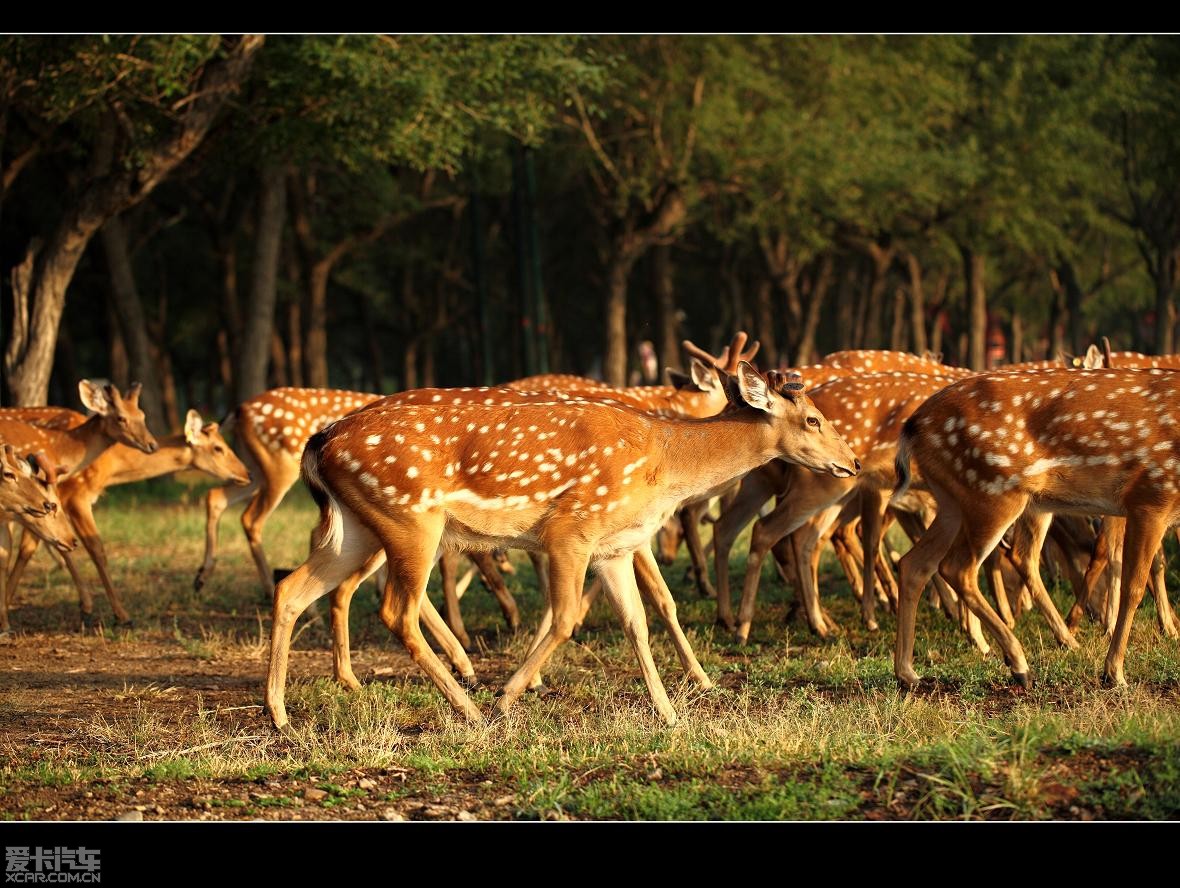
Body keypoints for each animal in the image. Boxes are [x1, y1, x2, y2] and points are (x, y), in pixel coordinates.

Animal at [267, 363, 859, 731]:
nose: (851, 461)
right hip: (409, 519)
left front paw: (669, 714)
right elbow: (567, 616)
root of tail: (320, 442)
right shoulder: (572, 528)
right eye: (813, 418)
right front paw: (507, 697)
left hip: (357, 526)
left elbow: (636, 622)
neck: (663, 465)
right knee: (396, 610)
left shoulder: (614, 547)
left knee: (292, 587)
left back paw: (278, 712)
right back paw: (470, 708)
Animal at [892, 363, 1180, 688]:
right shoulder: (1151, 495)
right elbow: (1134, 588)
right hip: (993, 490)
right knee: (957, 567)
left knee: (915, 564)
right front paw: (1114, 672)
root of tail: (912, 425)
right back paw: (1020, 664)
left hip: (955, 501)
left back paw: (908, 673)